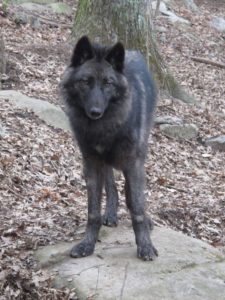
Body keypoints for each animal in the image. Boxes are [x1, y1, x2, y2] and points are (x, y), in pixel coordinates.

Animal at [60, 35, 157, 260]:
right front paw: (87, 244)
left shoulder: (133, 163)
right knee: (112, 186)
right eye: (85, 82)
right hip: (105, 163)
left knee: (131, 193)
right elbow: (93, 212)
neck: (104, 127)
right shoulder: (92, 163)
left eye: (108, 83)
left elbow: (137, 206)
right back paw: (111, 213)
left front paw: (145, 245)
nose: (95, 111)